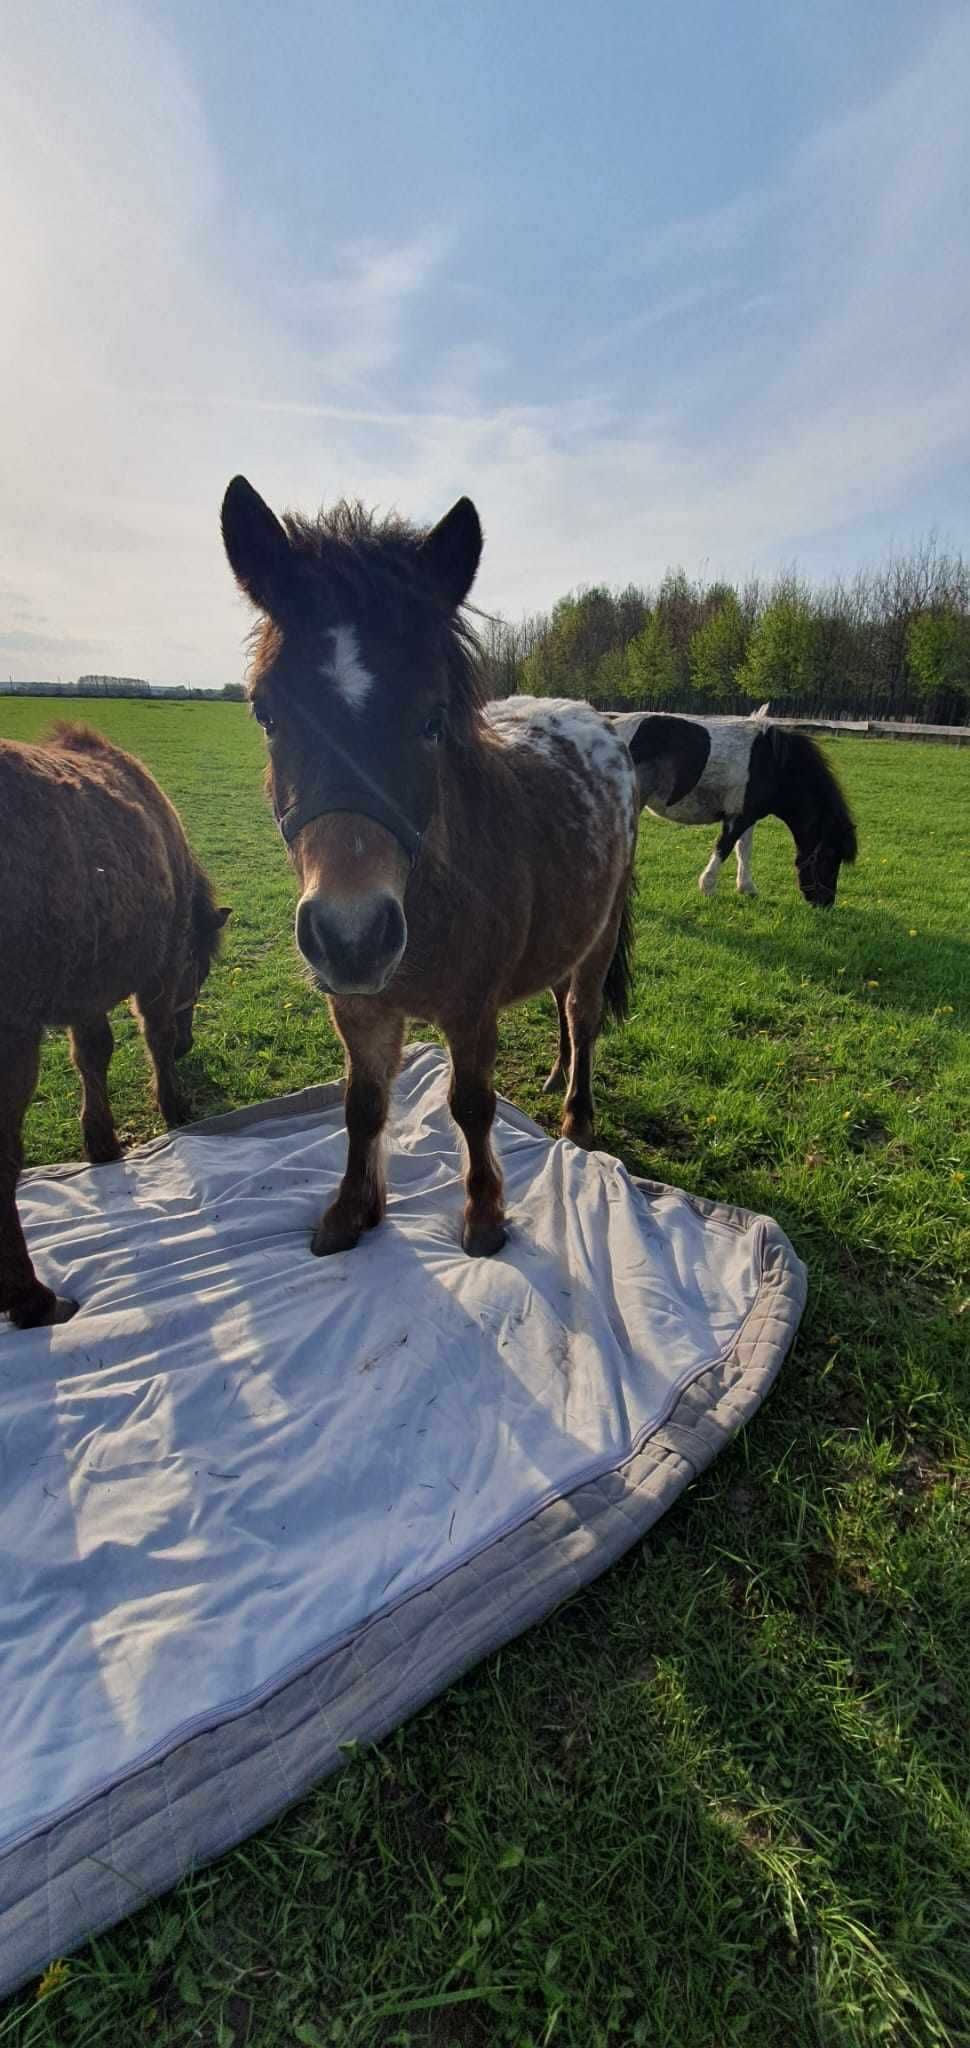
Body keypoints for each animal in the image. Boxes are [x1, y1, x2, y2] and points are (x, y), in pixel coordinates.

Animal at [0, 729, 229, 1335]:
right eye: (200, 969)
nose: (190, 1044)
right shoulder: (159, 968)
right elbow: (149, 1037)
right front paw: (173, 1104)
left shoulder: (87, 989)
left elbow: (92, 1055)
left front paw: (100, 1140)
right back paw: (33, 1299)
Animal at [223, 481, 638, 1261]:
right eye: (266, 713)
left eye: (431, 719)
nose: (352, 936)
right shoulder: (358, 1008)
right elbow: (362, 1105)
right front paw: (351, 1211)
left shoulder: (471, 1011)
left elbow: (470, 1106)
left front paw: (484, 1215)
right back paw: (555, 1073)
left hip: (597, 939)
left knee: (582, 1013)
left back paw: (577, 1117)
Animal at [609, 704, 859, 905]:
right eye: (829, 857)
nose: (825, 902)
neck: (775, 766)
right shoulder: (737, 818)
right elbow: (724, 847)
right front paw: (708, 887)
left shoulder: (748, 816)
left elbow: (744, 850)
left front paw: (746, 887)